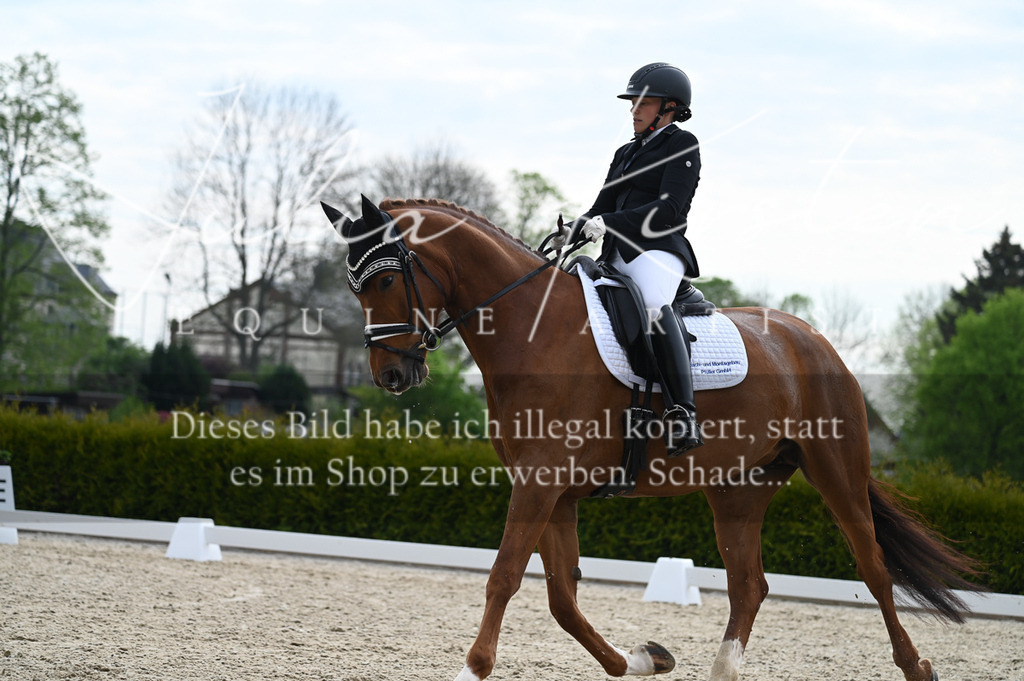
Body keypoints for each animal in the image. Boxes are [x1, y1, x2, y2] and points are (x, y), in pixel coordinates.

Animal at [321, 196, 980, 681]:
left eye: (385, 281)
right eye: (354, 287)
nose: (391, 376)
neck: (533, 332)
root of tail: (813, 339)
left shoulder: (538, 486)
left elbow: (505, 577)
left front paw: (472, 670)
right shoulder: (555, 493)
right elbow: (561, 599)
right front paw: (643, 659)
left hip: (836, 469)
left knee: (873, 568)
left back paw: (916, 666)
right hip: (738, 490)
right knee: (749, 584)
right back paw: (722, 672)